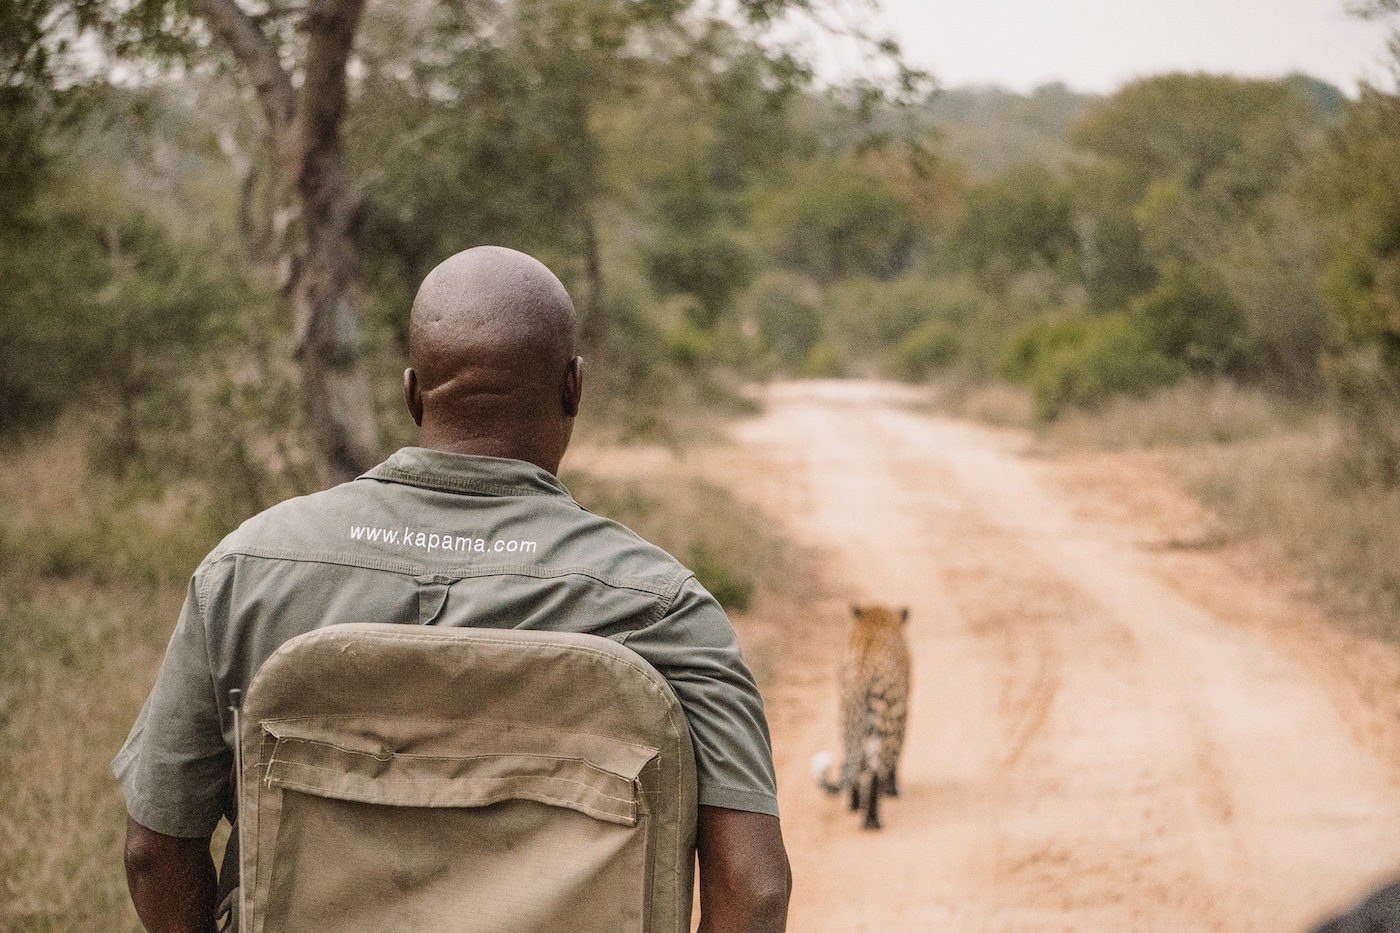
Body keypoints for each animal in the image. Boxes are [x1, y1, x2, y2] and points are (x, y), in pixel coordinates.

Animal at [812, 604, 911, 830]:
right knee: (875, 768)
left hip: (848, 715)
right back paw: (872, 820)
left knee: (854, 763)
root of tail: (862, 667)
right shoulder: (902, 713)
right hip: (886, 719)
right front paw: (892, 790)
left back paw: (855, 805)